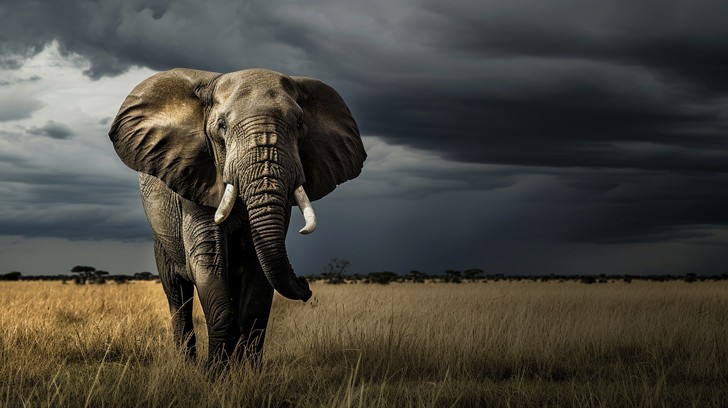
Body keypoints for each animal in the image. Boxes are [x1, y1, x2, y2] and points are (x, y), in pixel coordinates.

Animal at [108, 68, 366, 365]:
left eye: (300, 124)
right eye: (222, 126)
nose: (306, 283)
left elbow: (258, 276)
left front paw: (245, 371)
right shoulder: (195, 179)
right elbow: (209, 260)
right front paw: (213, 372)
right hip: (161, 238)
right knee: (177, 295)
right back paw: (188, 363)